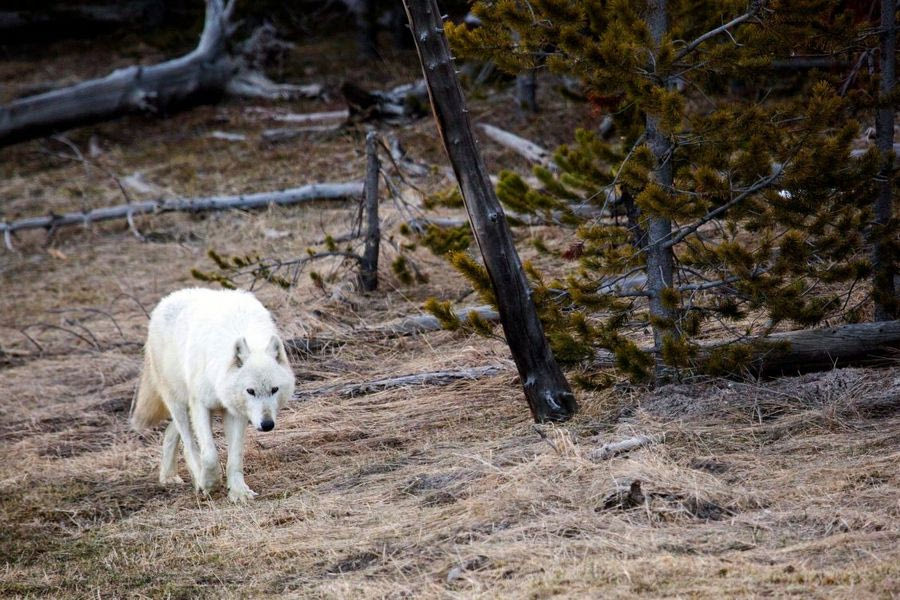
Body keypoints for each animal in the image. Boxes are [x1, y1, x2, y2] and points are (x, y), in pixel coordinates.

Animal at [130, 288, 296, 504]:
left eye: (274, 390)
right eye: (251, 391)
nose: (267, 425)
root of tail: (168, 298)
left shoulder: (235, 412)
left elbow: (235, 457)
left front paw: (238, 492)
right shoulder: (200, 405)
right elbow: (209, 455)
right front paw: (209, 483)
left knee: (170, 432)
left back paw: (168, 476)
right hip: (179, 403)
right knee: (188, 443)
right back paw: (195, 479)